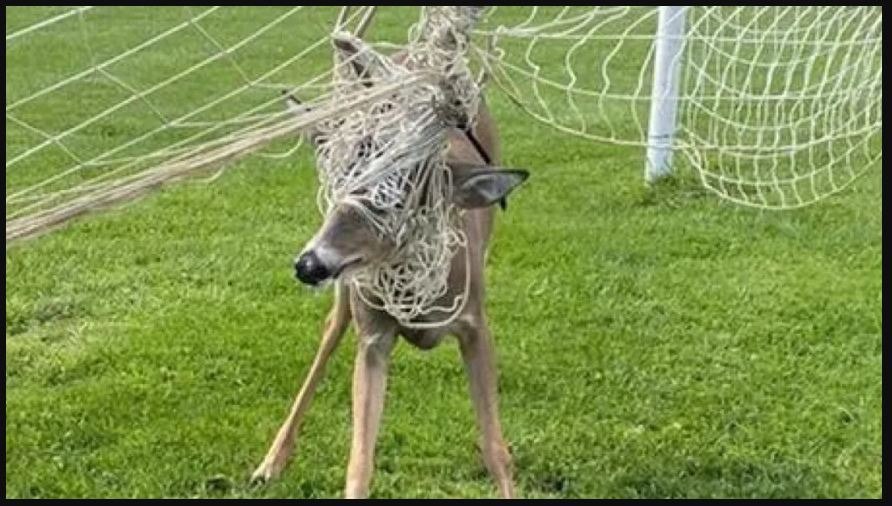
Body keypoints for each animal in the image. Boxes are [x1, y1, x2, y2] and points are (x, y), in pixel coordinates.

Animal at [251, 31, 528, 498]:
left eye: (397, 201)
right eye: (339, 183)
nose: (308, 265)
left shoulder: (476, 323)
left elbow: (496, 447)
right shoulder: (374, 336)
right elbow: (359, 460)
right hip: (349, 295)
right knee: (329, 334)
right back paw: (270, 462)